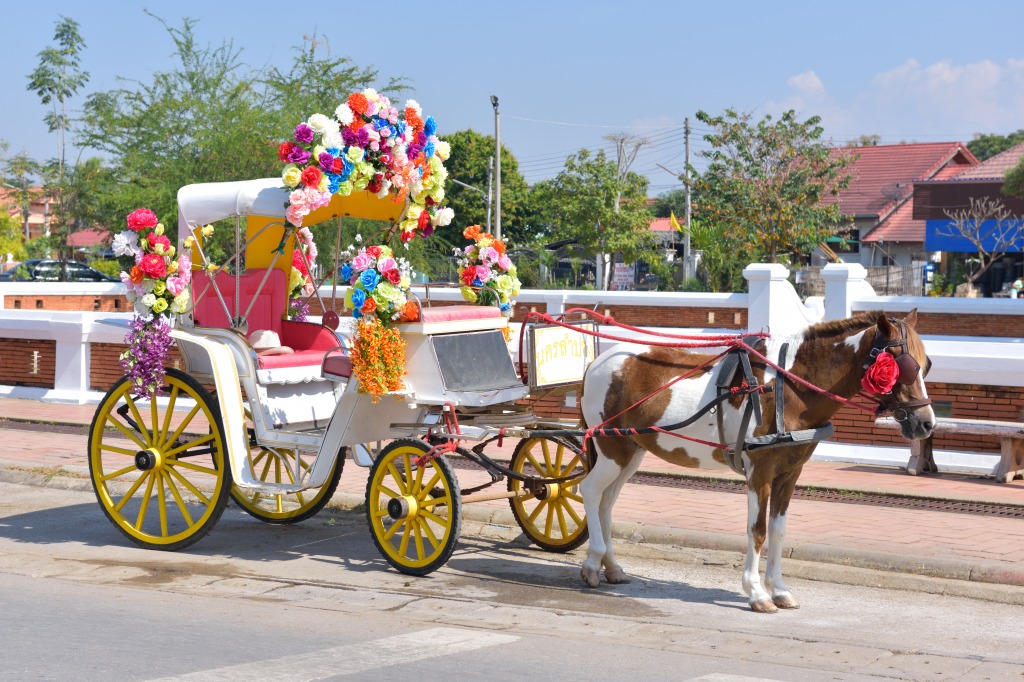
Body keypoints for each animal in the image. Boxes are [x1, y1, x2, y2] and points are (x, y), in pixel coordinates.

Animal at [577, 307, 937, 610]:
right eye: (902, 366)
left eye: (927, 364)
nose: (926, 423)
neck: (786, 388)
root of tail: (598, 363)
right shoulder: (760, 470)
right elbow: (758, 530)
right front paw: (756, 592)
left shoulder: (790, 473)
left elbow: (778, 530)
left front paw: (779, 589)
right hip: (611, 449)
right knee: (590, 492)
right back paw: (593, 562)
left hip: (630, 452)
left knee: (607, 502)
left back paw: (612, 566)